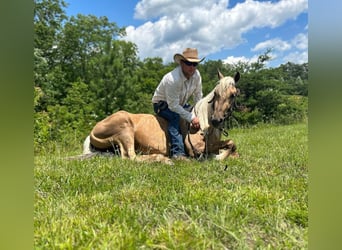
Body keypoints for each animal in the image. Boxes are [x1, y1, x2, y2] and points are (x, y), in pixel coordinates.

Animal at [77, 70, 239, 165]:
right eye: (216, 94)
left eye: (233, 95)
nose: (216, 120)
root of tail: (93, 131)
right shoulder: (197, 148)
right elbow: (230, 144)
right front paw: (218, 157)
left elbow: (233, 147)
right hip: (125, 130)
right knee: (131, 157)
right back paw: (163, 159)